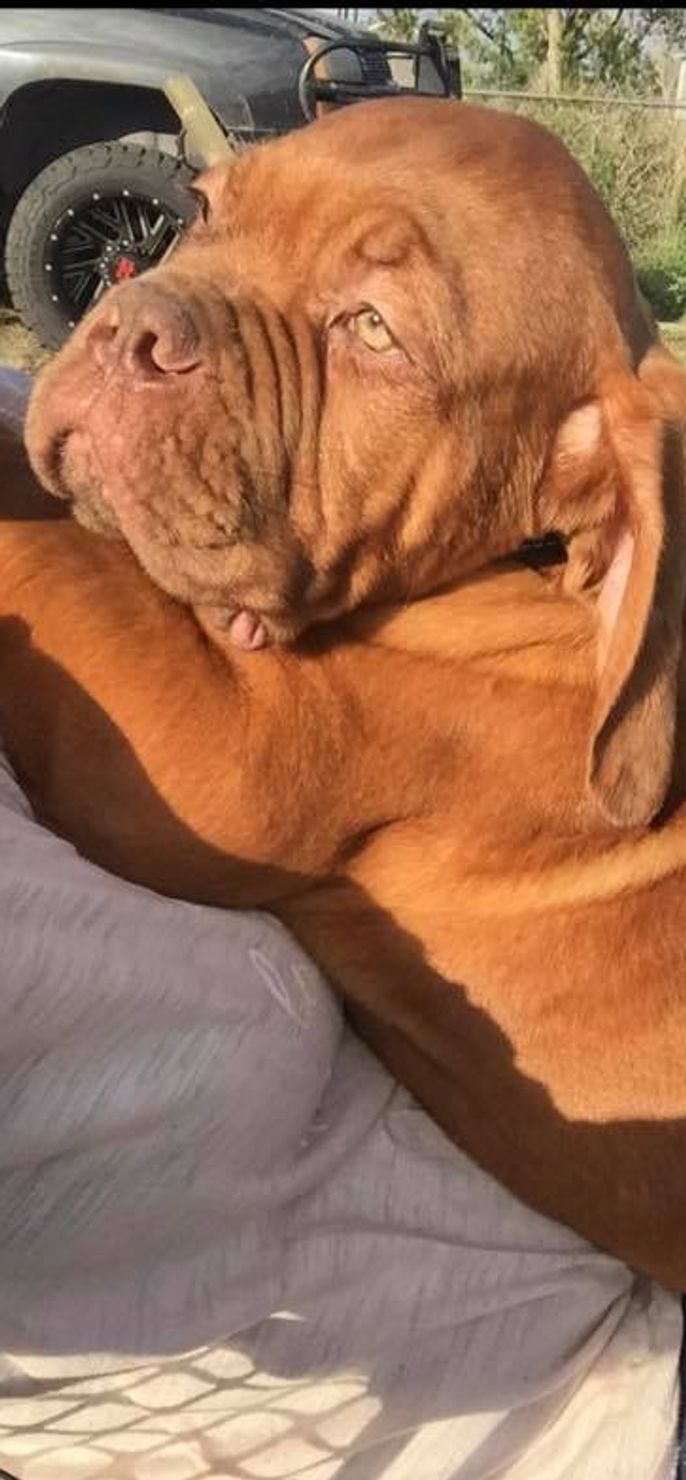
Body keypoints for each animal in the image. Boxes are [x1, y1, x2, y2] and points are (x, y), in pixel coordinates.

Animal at [3, 98, 686, 1288]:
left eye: (372, 331)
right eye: (203, 212)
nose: (130, 325)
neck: (528, 564)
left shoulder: (213, 756)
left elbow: (60, 563)